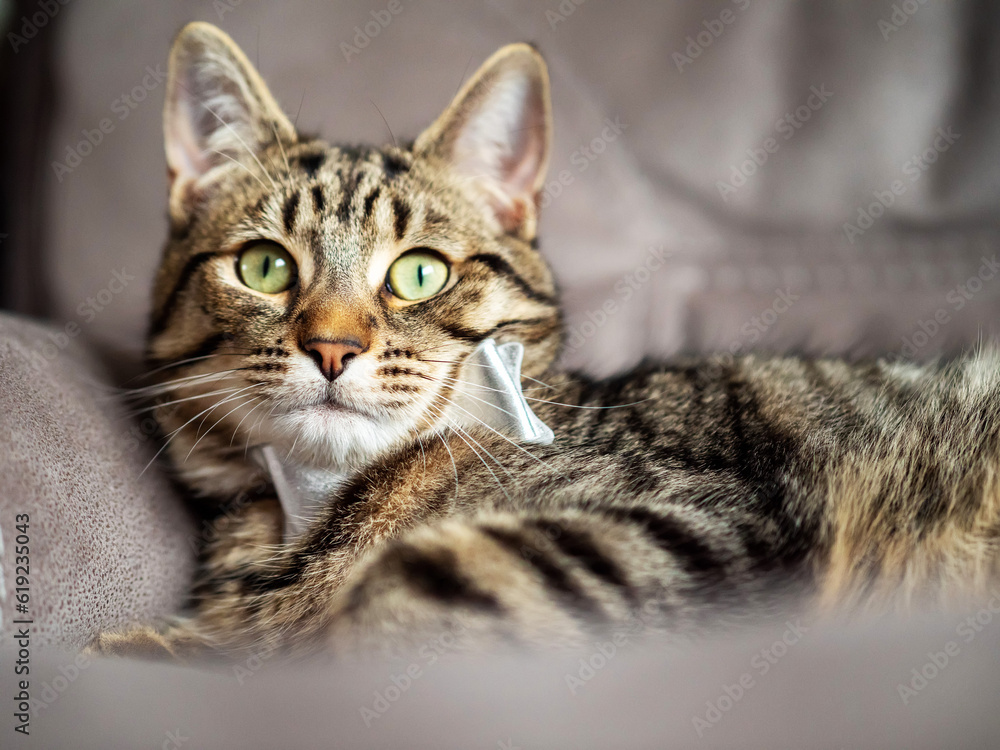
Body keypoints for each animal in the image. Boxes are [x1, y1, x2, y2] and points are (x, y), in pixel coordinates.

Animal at [92, 20, 1000, 660]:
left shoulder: (697, 514)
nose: (332, 348)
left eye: (418, 273)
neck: (311, 516)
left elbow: (401, 591)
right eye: (265, 266)